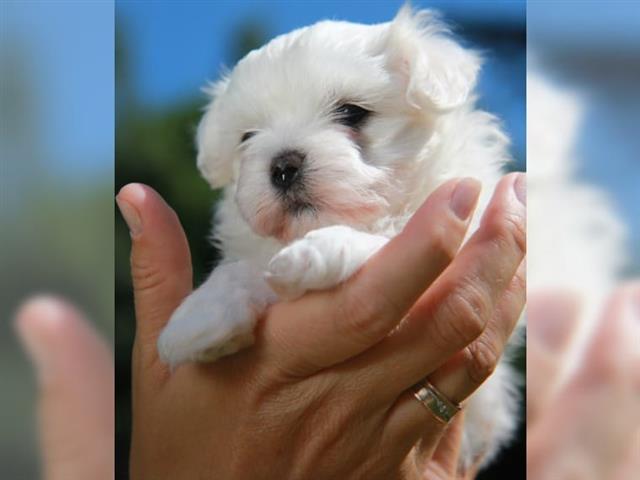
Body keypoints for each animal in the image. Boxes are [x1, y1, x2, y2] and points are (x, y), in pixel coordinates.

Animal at [160, 6, 520, 468]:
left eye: (351, 113)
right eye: (247, 137)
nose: (283, 165)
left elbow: (386, 238)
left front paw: (316, 253)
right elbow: (243, 271)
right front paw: (200, 317)